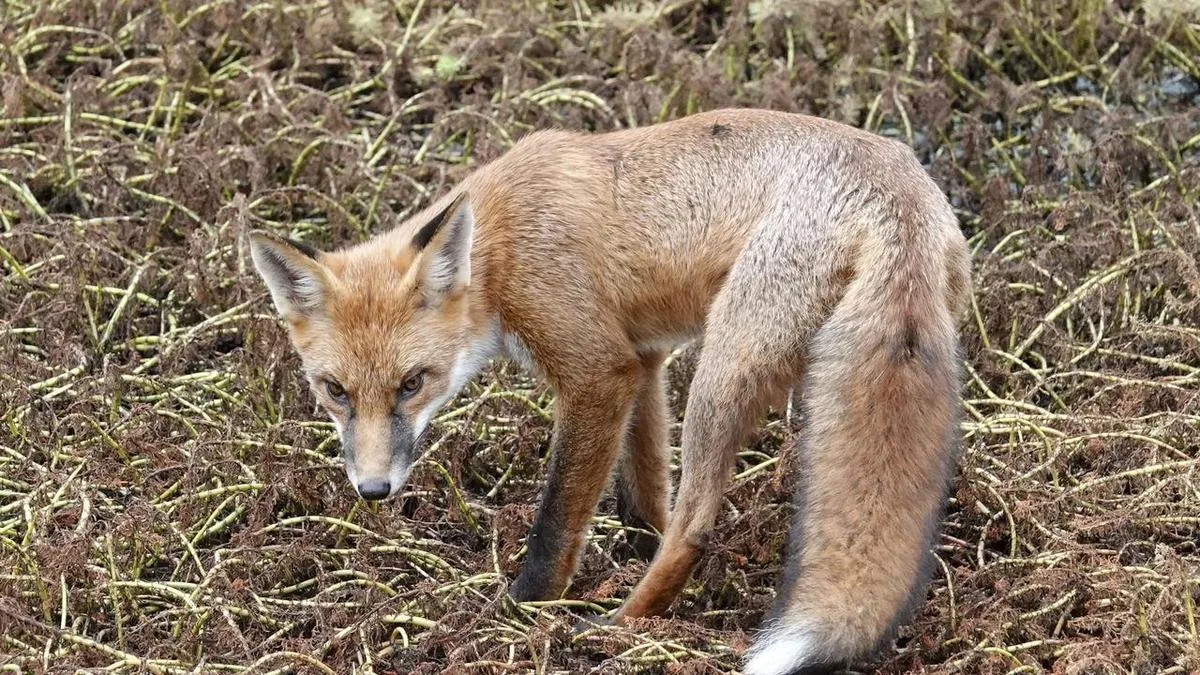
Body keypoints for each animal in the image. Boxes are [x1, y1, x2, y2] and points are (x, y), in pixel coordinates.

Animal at [247, 107, 970, 674]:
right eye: (335, 390)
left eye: (412, 383)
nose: (372, 490)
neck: (500, 247)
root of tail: (900, 196)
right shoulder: (640, 363)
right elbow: (643, 496)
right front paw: (635, 553)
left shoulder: (598, 373)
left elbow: (557, 521)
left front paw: (522, 613)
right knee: (685, 518)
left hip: (722, 363)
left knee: (697, 522)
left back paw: (618, 630)